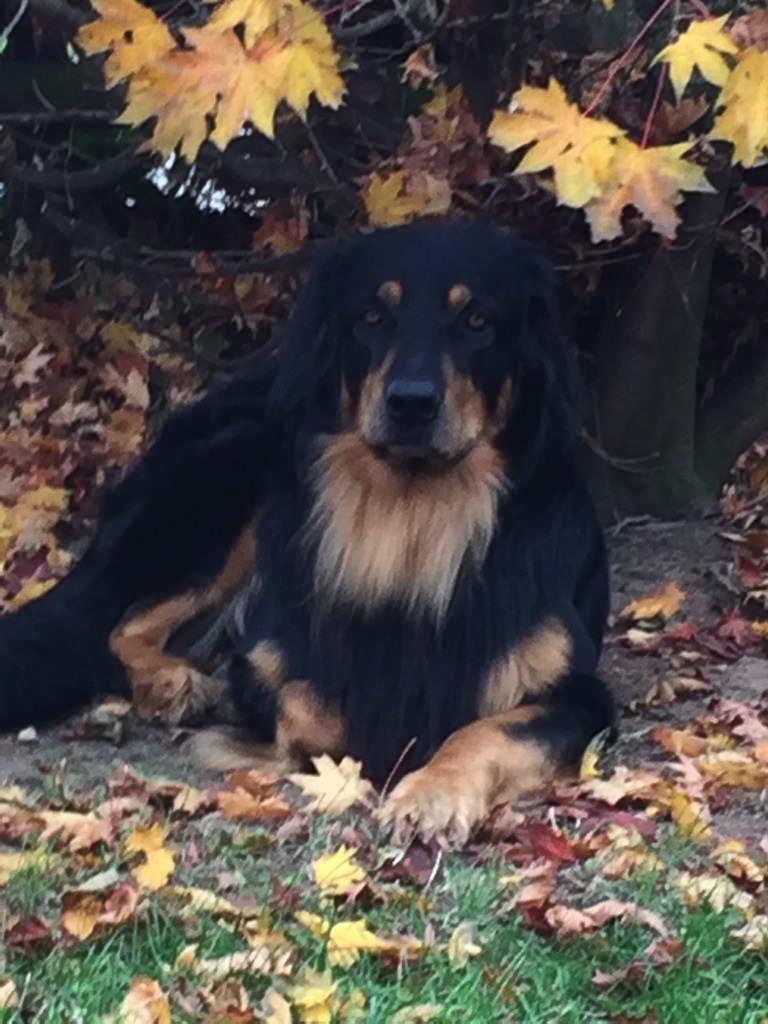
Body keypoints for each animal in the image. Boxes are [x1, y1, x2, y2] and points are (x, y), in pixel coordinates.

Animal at [0, 221, 614, 846]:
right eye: (371, 316)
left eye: (478, 321)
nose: (411, 403)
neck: (414, 520)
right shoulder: (265, 661)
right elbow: (316, 712)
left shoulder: (579, 691)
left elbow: (487, 730)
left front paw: (432, 794)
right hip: (240, 476)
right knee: (122, 621)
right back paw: (175, 683)